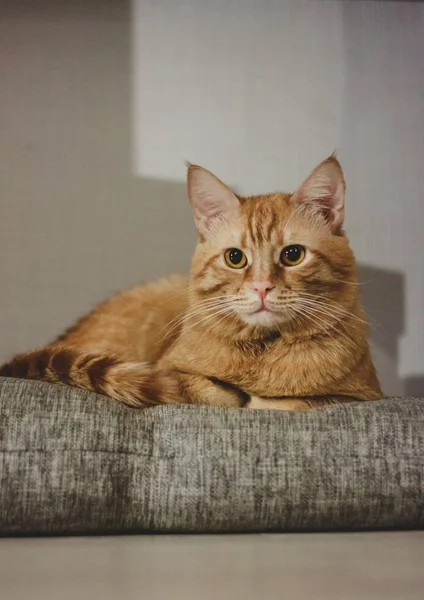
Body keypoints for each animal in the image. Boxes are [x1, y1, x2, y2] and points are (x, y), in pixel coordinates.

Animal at [0, 154, 384, 412]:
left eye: (292, 255)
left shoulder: (364, 396)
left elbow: (298, 402)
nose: (261, 287)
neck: (262, 352)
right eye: (235, 258)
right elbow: (203, 389)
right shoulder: (167, 373)